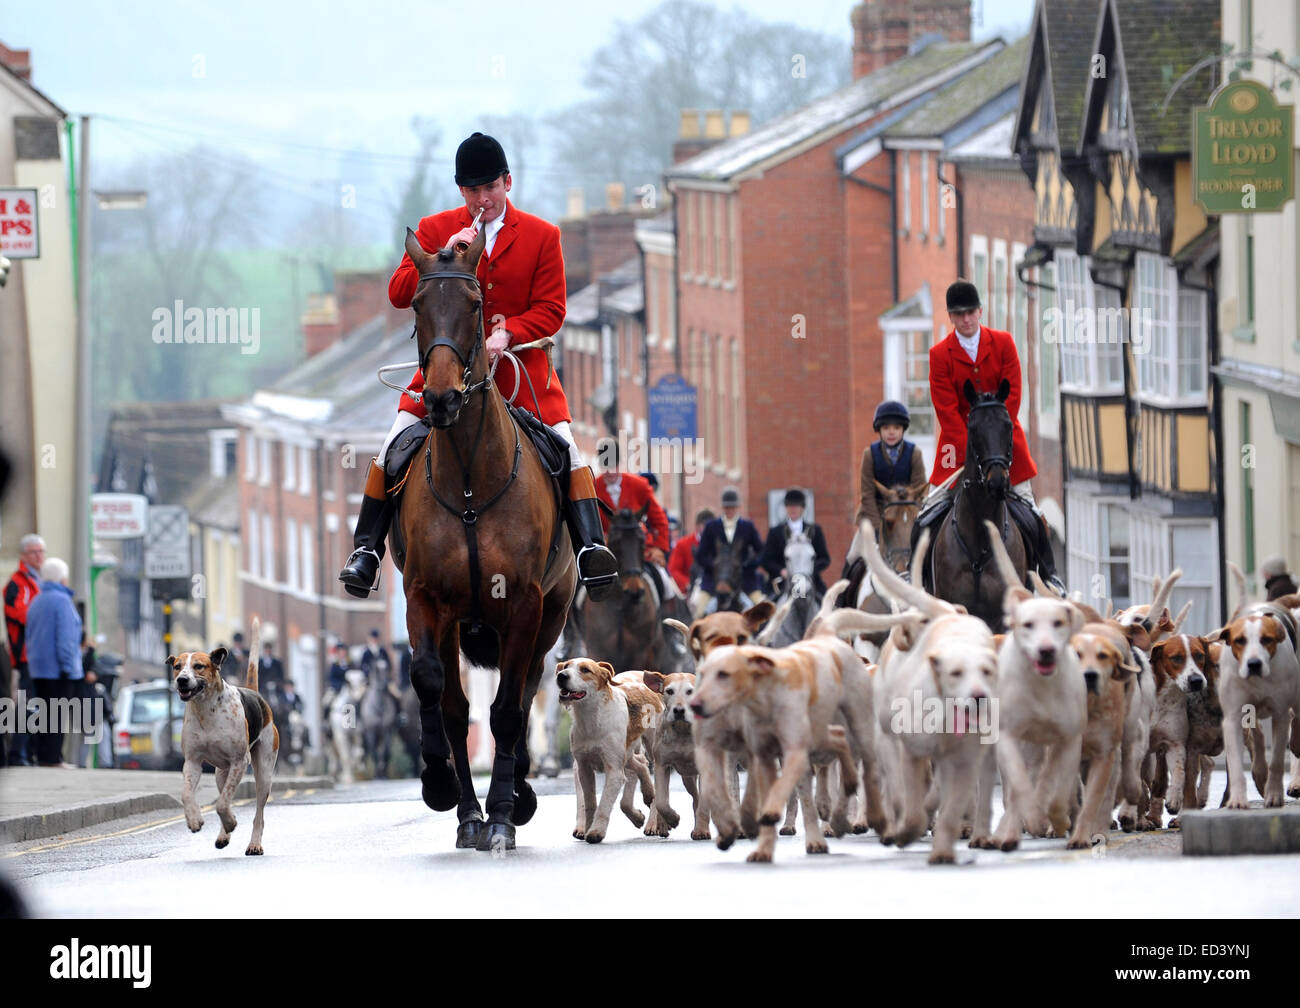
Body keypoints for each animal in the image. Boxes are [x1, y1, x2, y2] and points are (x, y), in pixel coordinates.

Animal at [392, 226, 572, 853]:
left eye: (475, 305)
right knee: (456, 703)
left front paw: (504, 813)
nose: (442, 398)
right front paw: (445, 790)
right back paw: (468, 810)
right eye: (418, 306)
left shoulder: (523, 605)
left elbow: (507, 713)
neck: (471, 479)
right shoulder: (425, 600)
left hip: (550, 620)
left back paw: (517, 795)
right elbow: (438, 694)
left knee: (526, 693)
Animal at [577, 504, 665, 676]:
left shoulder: (639, 653)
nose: (634, 593)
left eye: (642, 542)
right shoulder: (596, 650)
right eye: (616, 542)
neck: (620, 607)